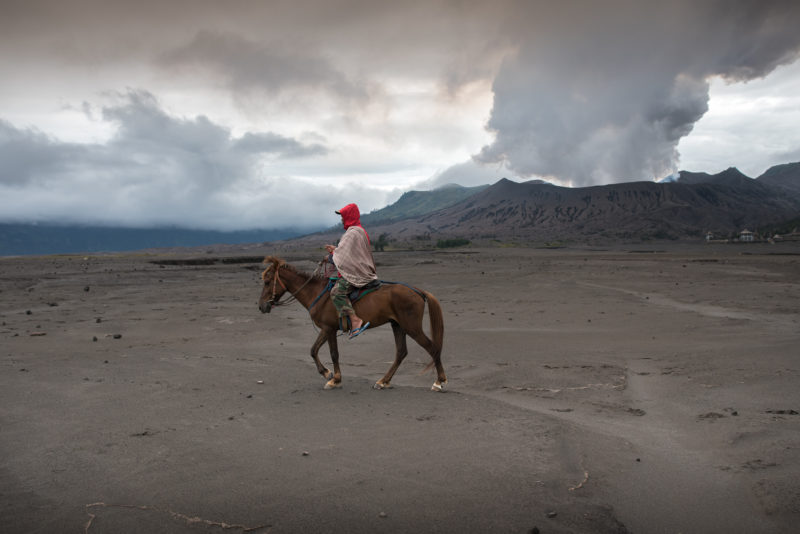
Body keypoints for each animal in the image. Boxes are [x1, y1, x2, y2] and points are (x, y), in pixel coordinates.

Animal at [256, 258, 446, 392]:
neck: (316, 293)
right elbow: (313, 350)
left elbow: (333, 354)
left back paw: (439, 382)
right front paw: (326, 373)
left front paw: (334, 379)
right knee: (401, 352)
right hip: (397, 325)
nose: (262, 306)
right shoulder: (326, 328)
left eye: (267, 282)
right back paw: (383, 381)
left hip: (411, 327)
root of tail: (418, 291)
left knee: (432, 348)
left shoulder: (329, 329)